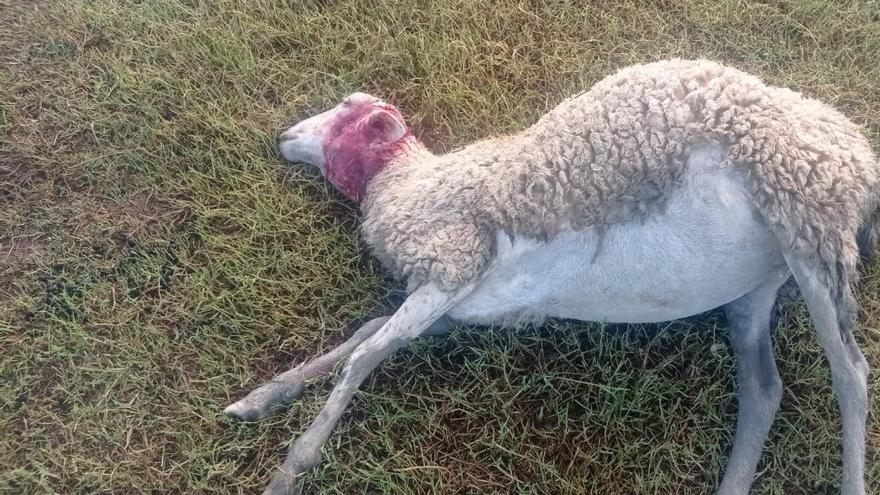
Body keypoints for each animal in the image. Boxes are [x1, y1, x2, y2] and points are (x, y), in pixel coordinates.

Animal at [223, 59, 876, 495]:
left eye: (347, 110)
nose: (284, 136)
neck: (407, 182)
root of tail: (857, 153)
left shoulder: (452, 265)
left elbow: (365, 356)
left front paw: (290, 467)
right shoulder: (459, 302)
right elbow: (369, 335)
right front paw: (260, 399)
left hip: (814, 233)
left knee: (851, 375)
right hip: (759, 283)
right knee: (764, 389)